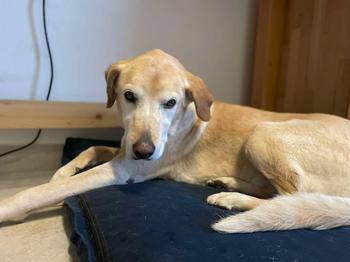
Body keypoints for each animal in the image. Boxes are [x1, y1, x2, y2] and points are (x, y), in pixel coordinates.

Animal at [0, 49, 350, 233]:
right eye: (129, 96)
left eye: (170, 102)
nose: (144, 150)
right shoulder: (126, 152)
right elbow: (91, 147)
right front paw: (63, 170)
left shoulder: (125, 169)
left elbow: (38, 192)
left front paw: (10, 206)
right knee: (275, 192)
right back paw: (226, 183)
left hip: (263, 132)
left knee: (292, 196)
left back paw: (233, 199)